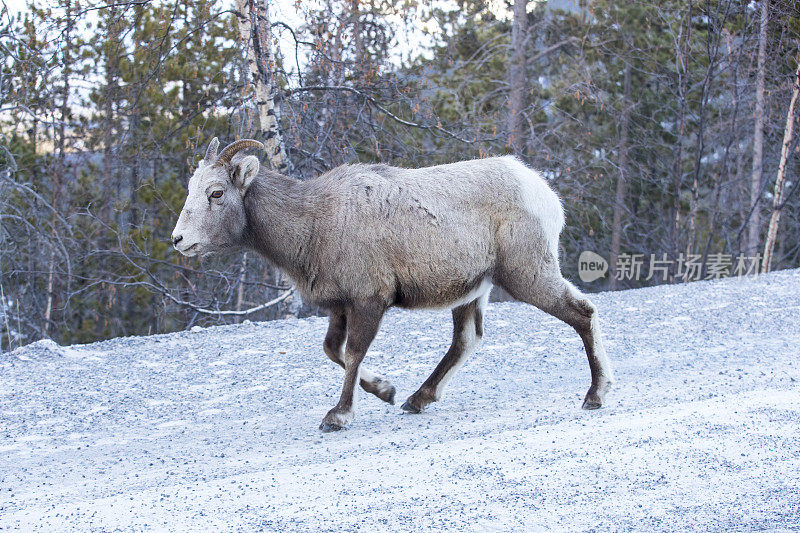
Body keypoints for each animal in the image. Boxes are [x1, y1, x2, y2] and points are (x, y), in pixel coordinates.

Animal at [173, 138, 612, 432]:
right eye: (192, 189)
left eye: (216, 193)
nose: (179, 240)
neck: (315, 222)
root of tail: (546, 195)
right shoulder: (341, 306)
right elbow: (332, 350)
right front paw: (386, 391)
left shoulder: (369, 301)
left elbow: (351, 354)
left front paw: (338, 416)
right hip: (474, 291)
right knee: (466, 339)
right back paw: (417, 400)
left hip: (528, 275)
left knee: (583, 313)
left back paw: (595, 396)